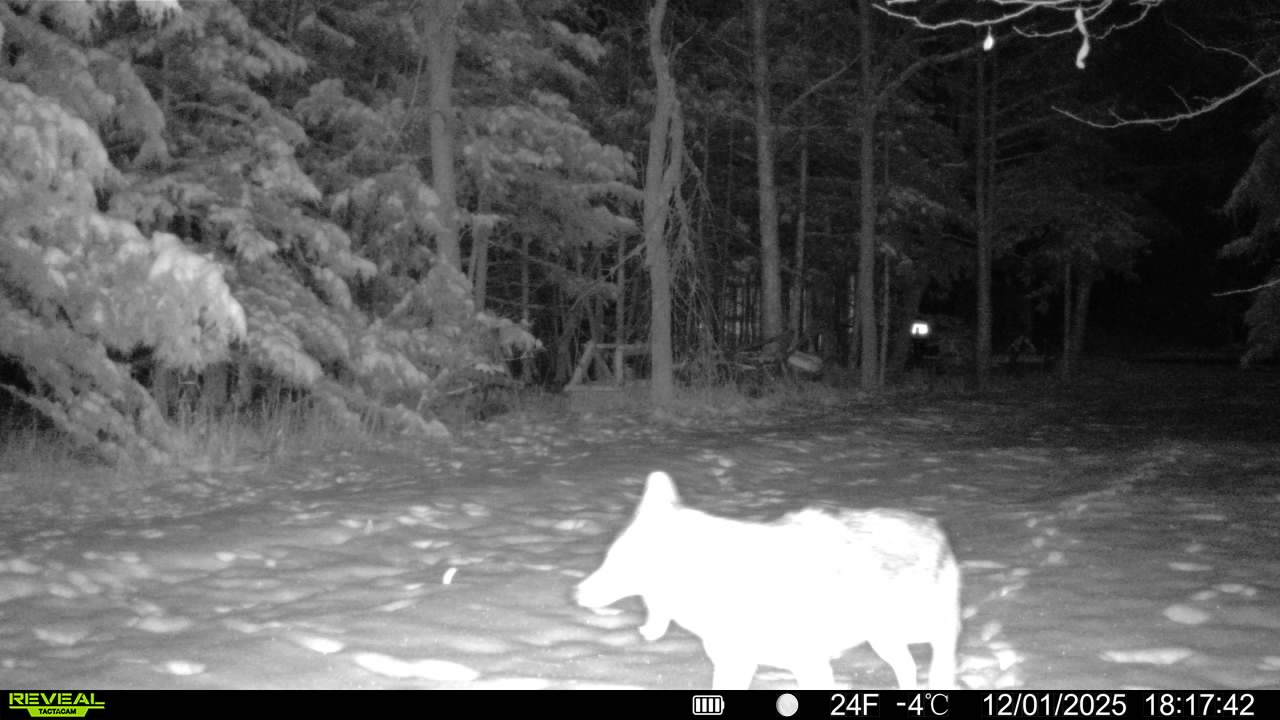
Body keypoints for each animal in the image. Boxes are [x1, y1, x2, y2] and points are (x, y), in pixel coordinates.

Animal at [574, 471, 961, 690]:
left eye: (616, 562)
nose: (577, 593)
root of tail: (936, 528)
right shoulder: (735, 664)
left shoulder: (810, 666)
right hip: (884, 640)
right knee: (908, 668)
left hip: (917, 631)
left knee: (941, 653)